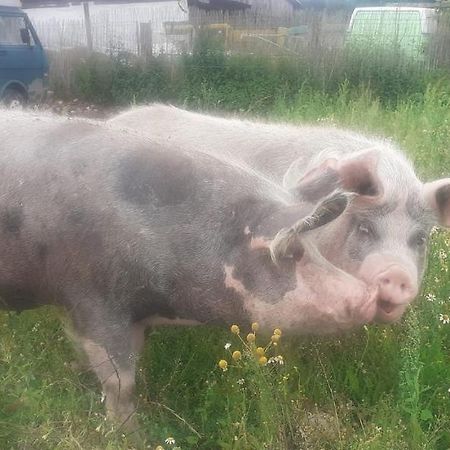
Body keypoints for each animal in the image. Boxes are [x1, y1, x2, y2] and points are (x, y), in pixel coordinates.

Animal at [0, 110, 448, 430]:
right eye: (365, 228)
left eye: (420, 239)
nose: (393, 278)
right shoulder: (93, 295)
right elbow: (120, 380)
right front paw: (128, 434)